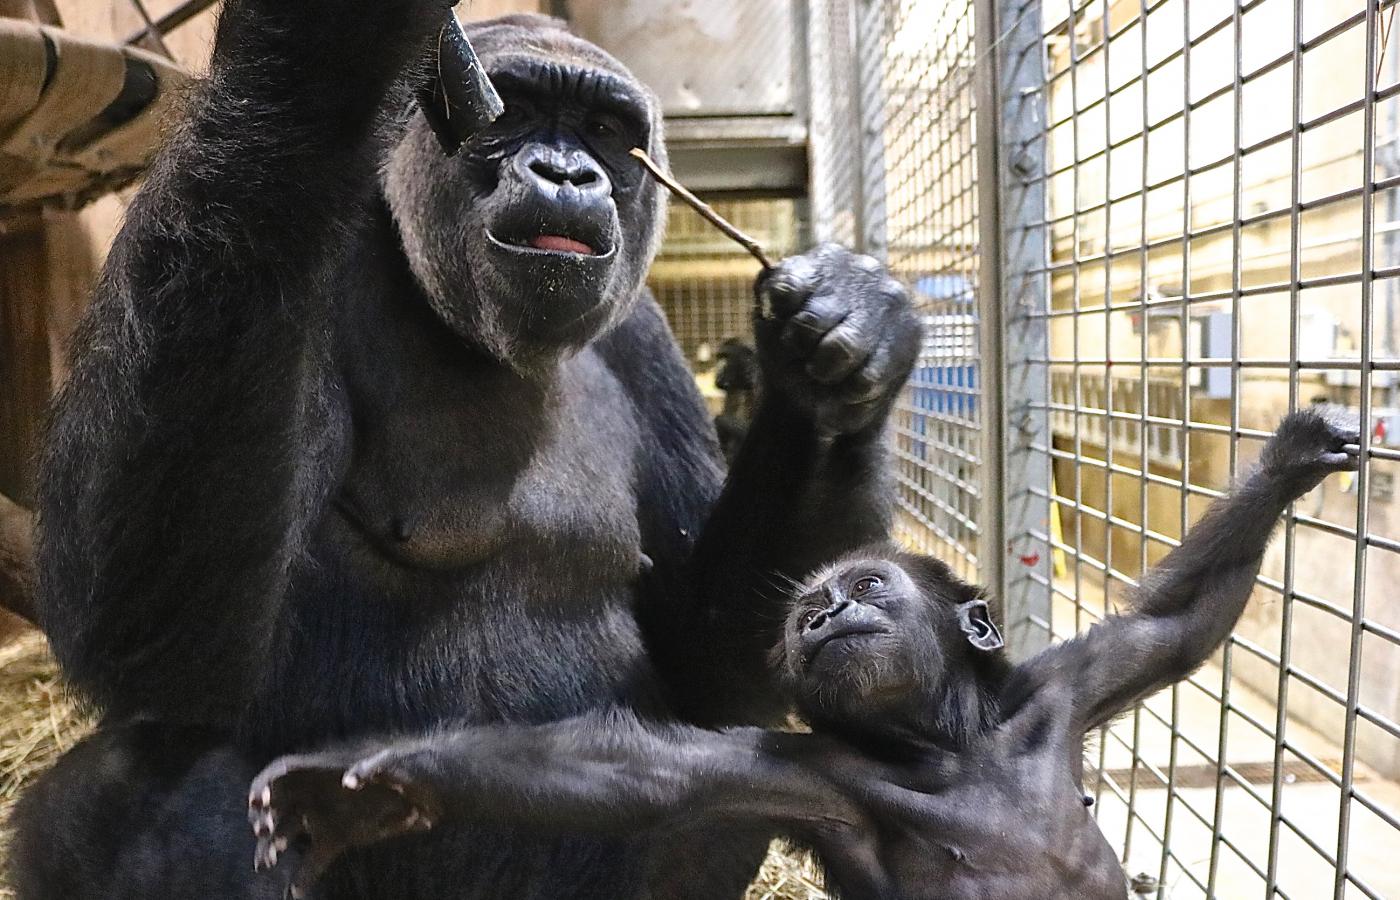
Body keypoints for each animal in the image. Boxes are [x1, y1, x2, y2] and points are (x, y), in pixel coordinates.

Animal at [16, 3, 924, 895]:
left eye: (602, 129)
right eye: (513, 113)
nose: (566, 174)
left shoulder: (643, 336)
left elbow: (711, 660)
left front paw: (832, 367)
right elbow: (169, 659)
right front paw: (318, 53)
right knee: (161, 785)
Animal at [252, 411, 1355, 900]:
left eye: (863, 589)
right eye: (802, 617)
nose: (823, 614)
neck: (950, 748)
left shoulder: (1066, 690)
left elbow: (1176, 623)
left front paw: (1287, 461)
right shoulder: (802, 776)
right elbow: (640, 773)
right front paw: (368, 790)